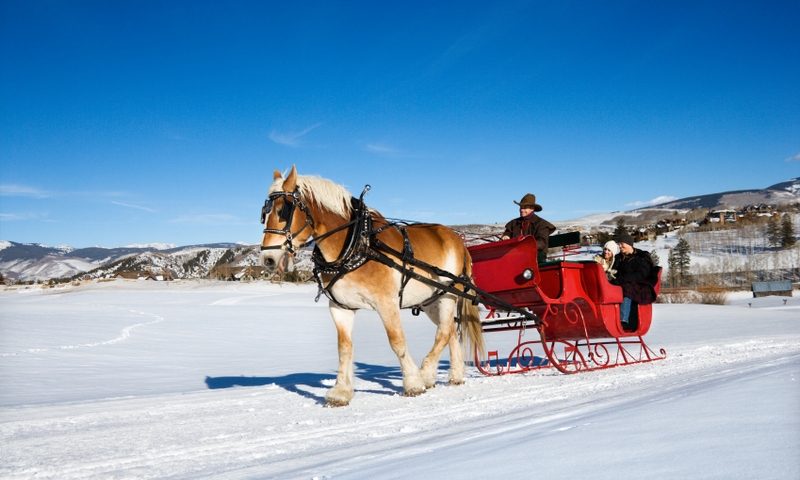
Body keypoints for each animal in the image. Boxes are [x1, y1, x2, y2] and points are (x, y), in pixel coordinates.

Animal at [259, 166, 484, 407]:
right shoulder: (341, 307)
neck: (357, 243)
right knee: (450, 330)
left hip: (448, 295)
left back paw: (426, 374)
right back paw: (455, 375)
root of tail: (458, 240)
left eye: (283, 210)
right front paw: (341, 392)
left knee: (443, 332)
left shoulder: (387, 303)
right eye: (264, 213)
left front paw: (413, 383)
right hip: (430, 301)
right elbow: (344, 348)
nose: (268, 259)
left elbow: (397, 341)